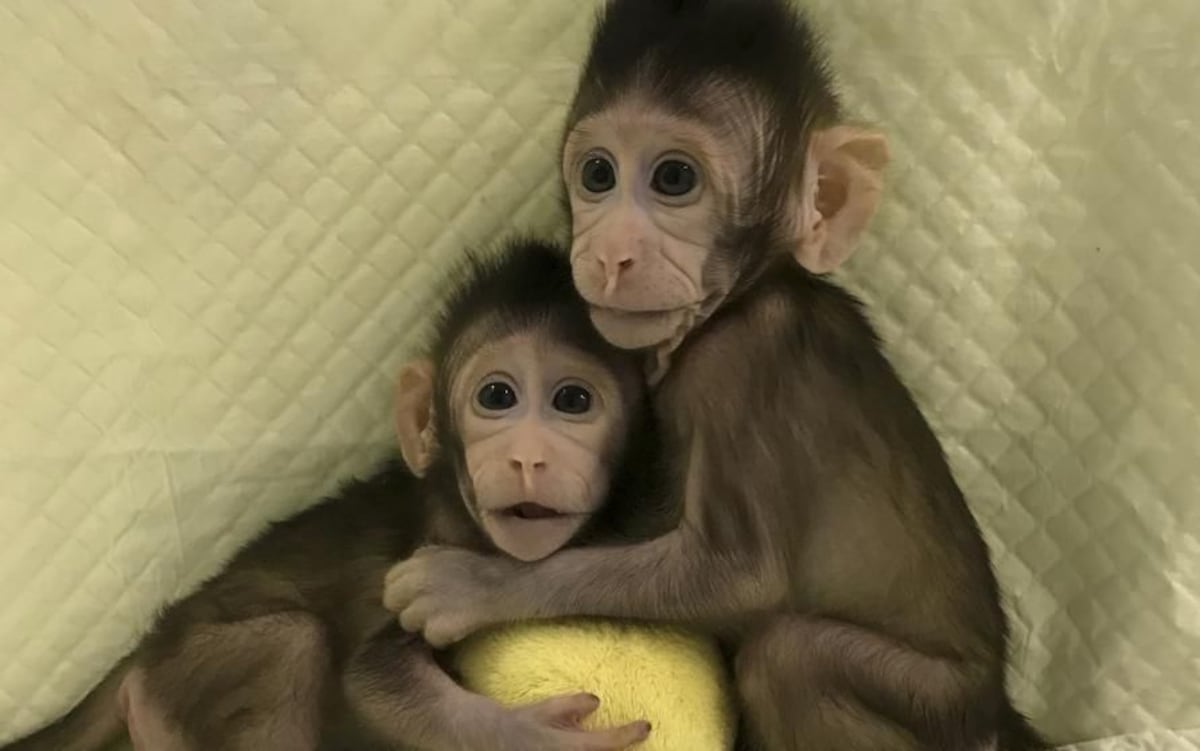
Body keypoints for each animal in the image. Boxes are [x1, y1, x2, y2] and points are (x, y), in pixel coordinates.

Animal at [1, 238, 656, 751]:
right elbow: (373, 680)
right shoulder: (423, 557)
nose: (528, 456)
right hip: (184, 676)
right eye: (497, 397)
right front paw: (527, 735)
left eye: (573, 401)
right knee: (293, 643)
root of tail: (146, 650)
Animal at [382, 2, 1049, 750]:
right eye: (598, 175)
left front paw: (474, 584)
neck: (745, 295)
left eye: (674, 179)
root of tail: (998, 712)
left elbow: (739, 575)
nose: (610, 253)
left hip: (935, 704)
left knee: (789, 654)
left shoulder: (737, 366)